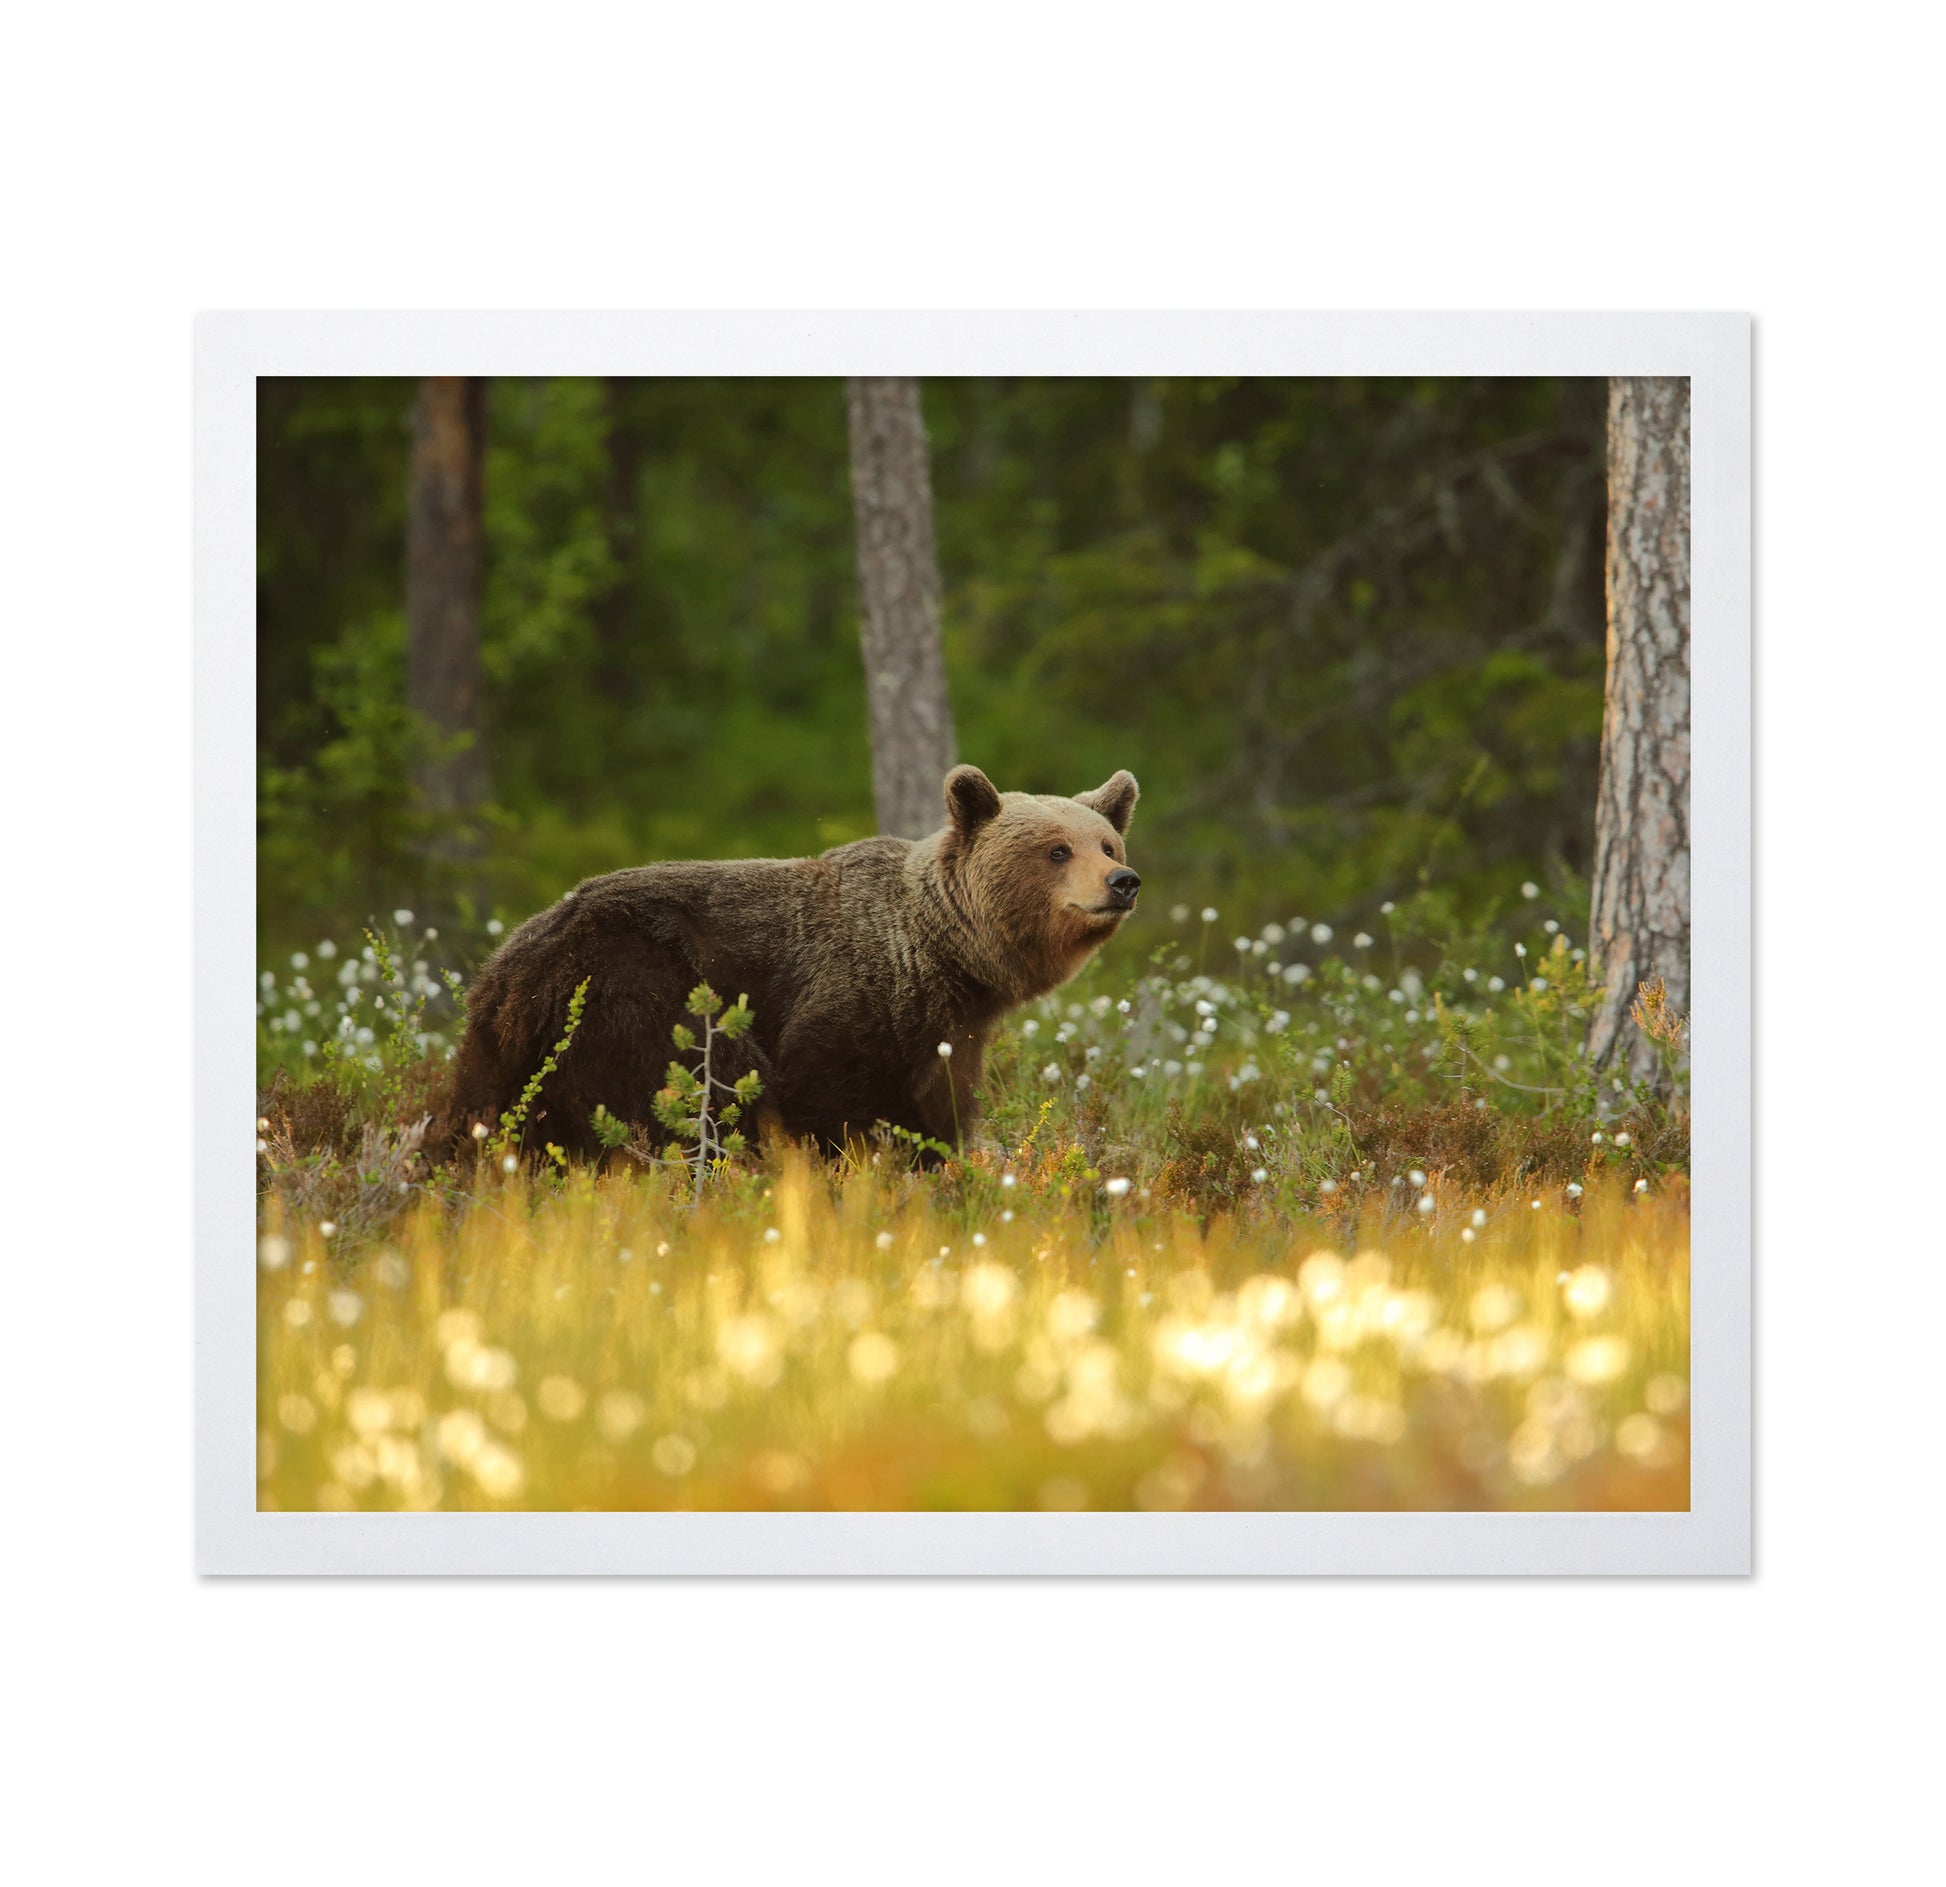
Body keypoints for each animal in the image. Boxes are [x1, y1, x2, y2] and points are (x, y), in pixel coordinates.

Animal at [445, 764, 1141, 1160]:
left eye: (1106, 843)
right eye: (1057, 850)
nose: (1123, 881)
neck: (945, 957)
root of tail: (510, 962)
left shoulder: (948, 1031)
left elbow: (938, 1108)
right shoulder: (854, 997)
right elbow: (827, 1096)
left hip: (512, 1049)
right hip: (637, 990)